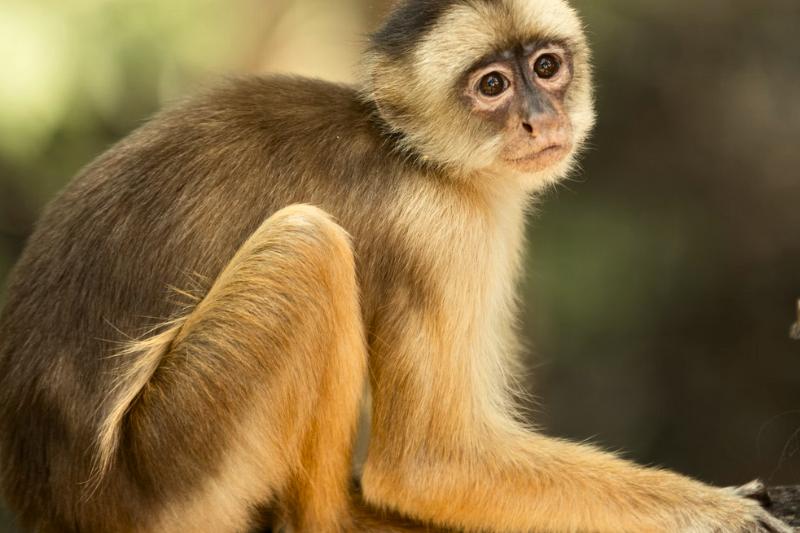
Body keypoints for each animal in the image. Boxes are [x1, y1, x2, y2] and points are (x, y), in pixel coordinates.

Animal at [0, 1, 792, 532]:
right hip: (167, 469)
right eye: (492, 87)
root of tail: (57, 499)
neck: (413, 153)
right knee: (308, 246)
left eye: (546, 67)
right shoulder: (440, 229)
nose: (541, 118)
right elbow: (429, 465)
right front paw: (722, 514)